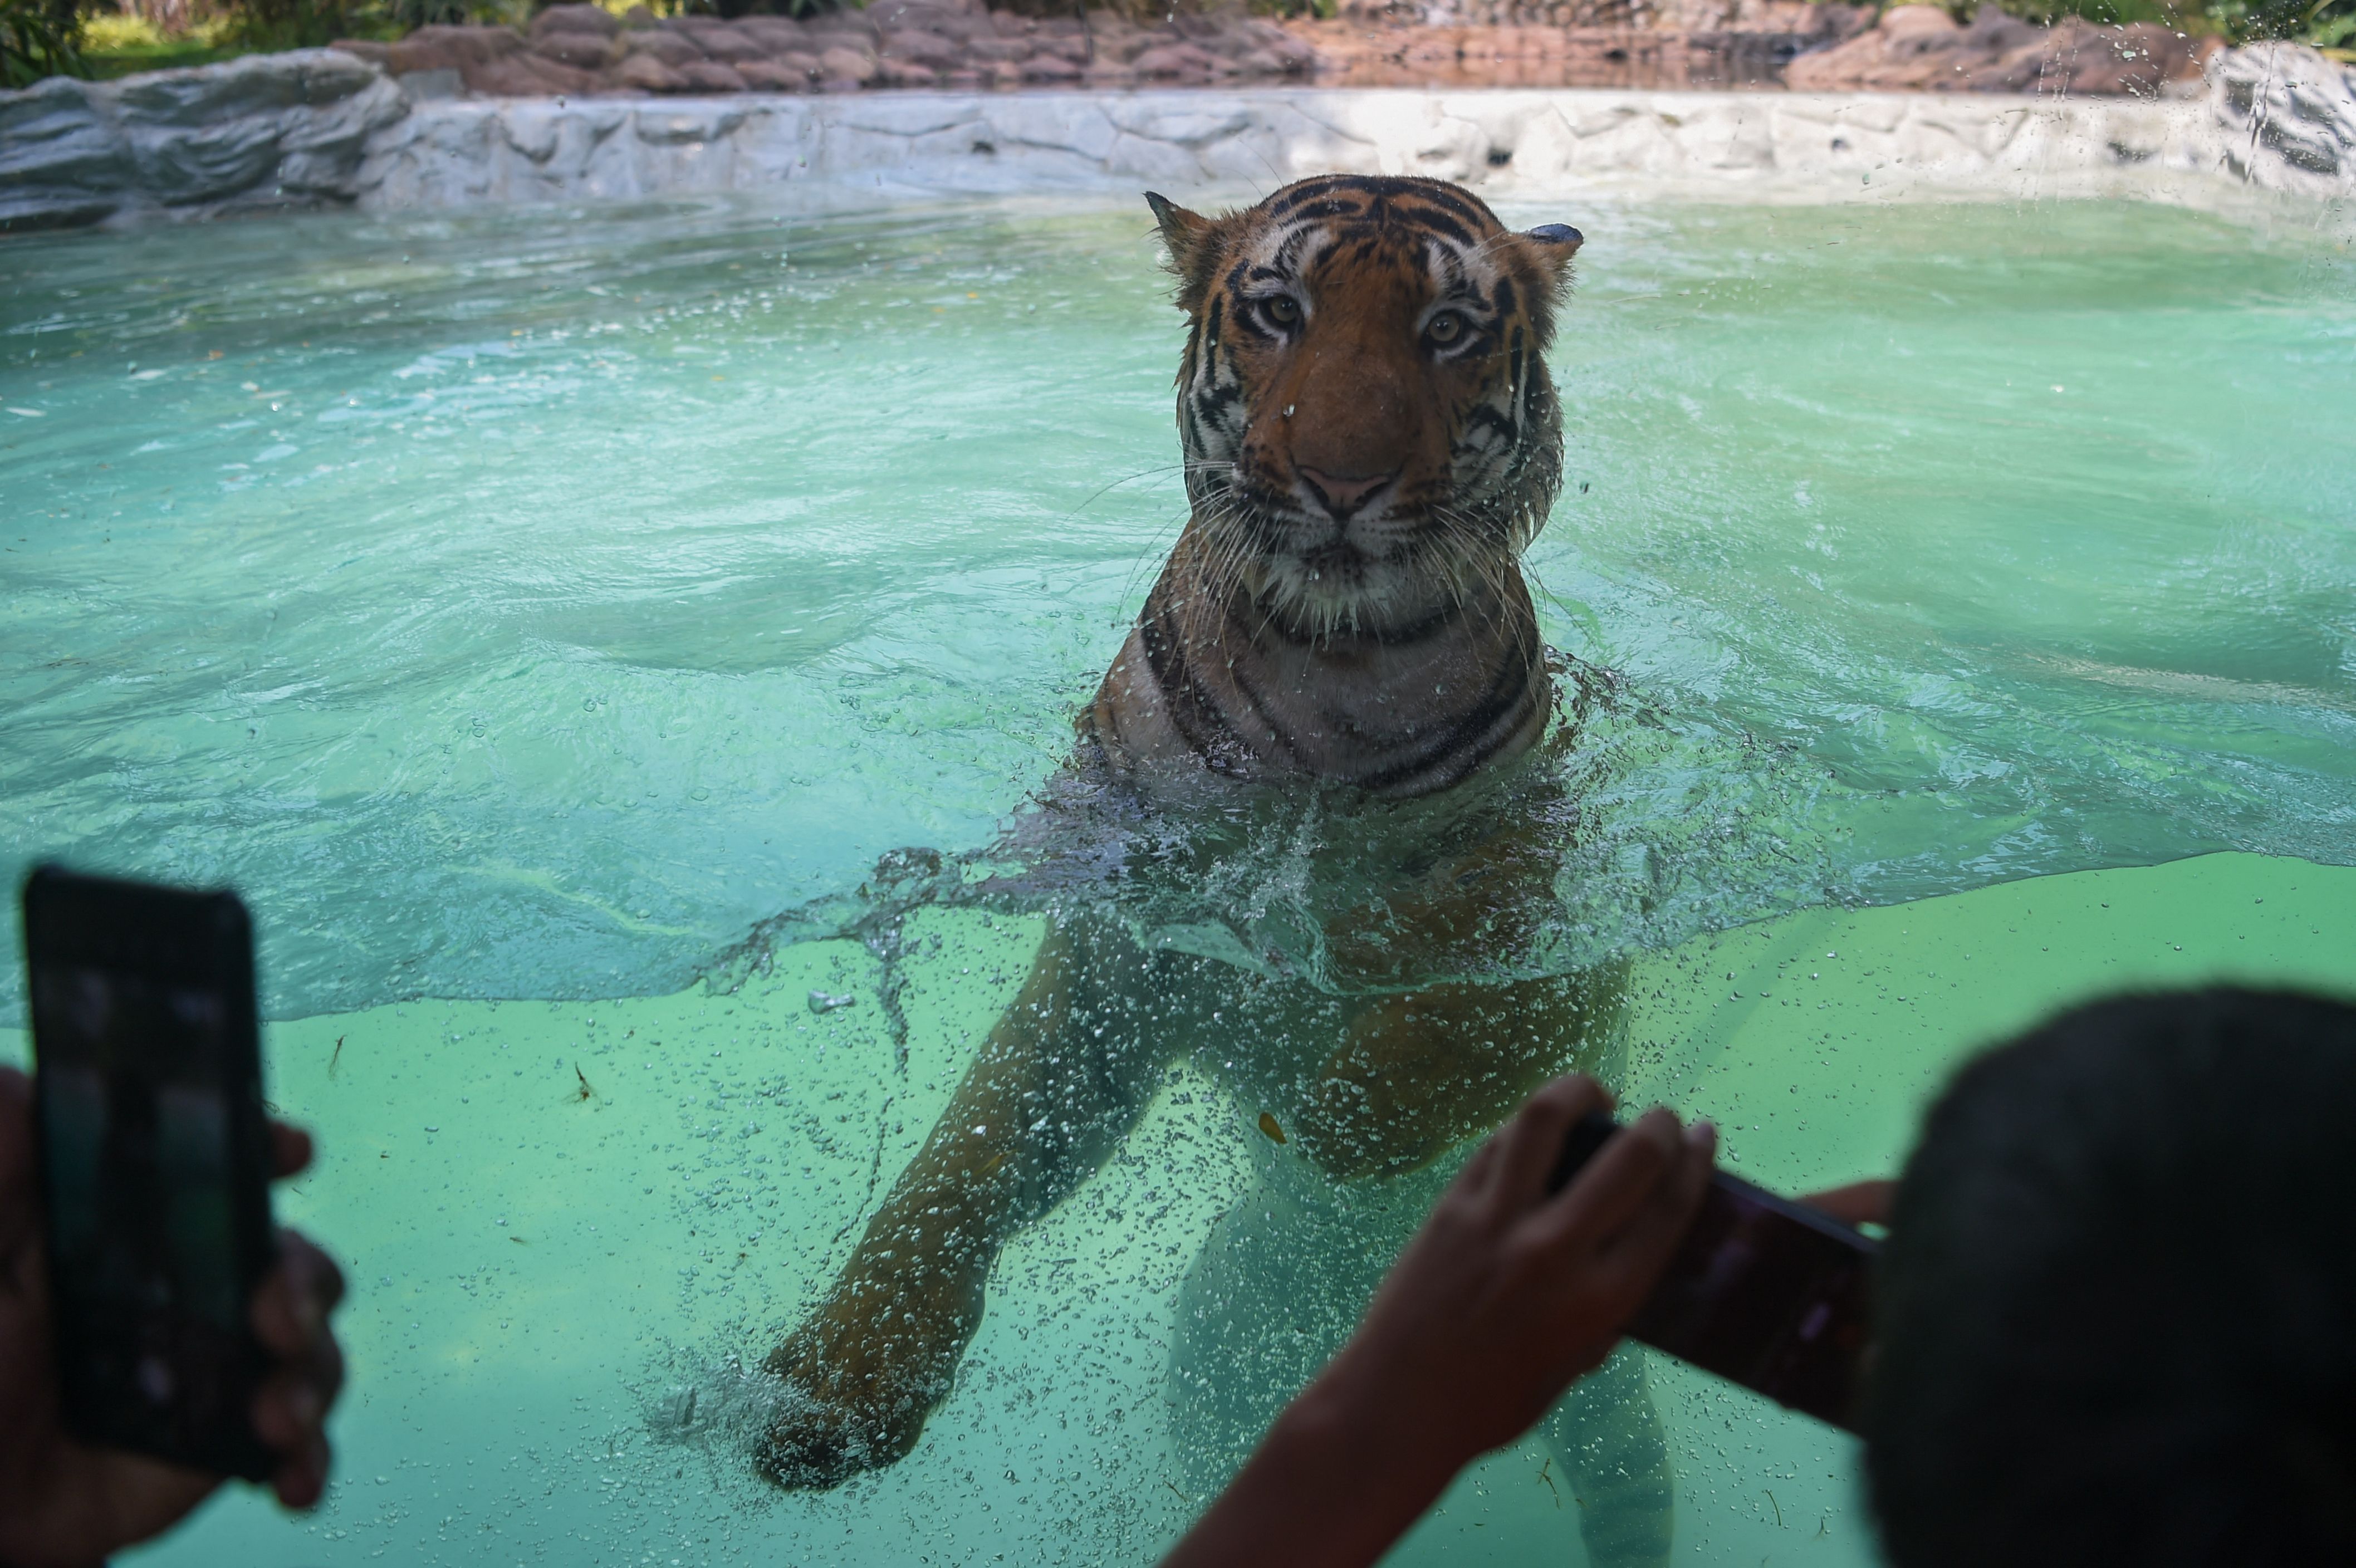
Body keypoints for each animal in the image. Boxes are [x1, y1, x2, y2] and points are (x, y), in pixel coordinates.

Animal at [753, 177, 1677, 1554]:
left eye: (1450, 329)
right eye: (1279, 312)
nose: (1341, 479)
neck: (1335, 666)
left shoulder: (1572, 926)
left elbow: (1466, 998)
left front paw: (1347, 1108)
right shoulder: (1117, 959)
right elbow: (961, 1162)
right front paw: (840, 1382)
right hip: (1216, 1343)